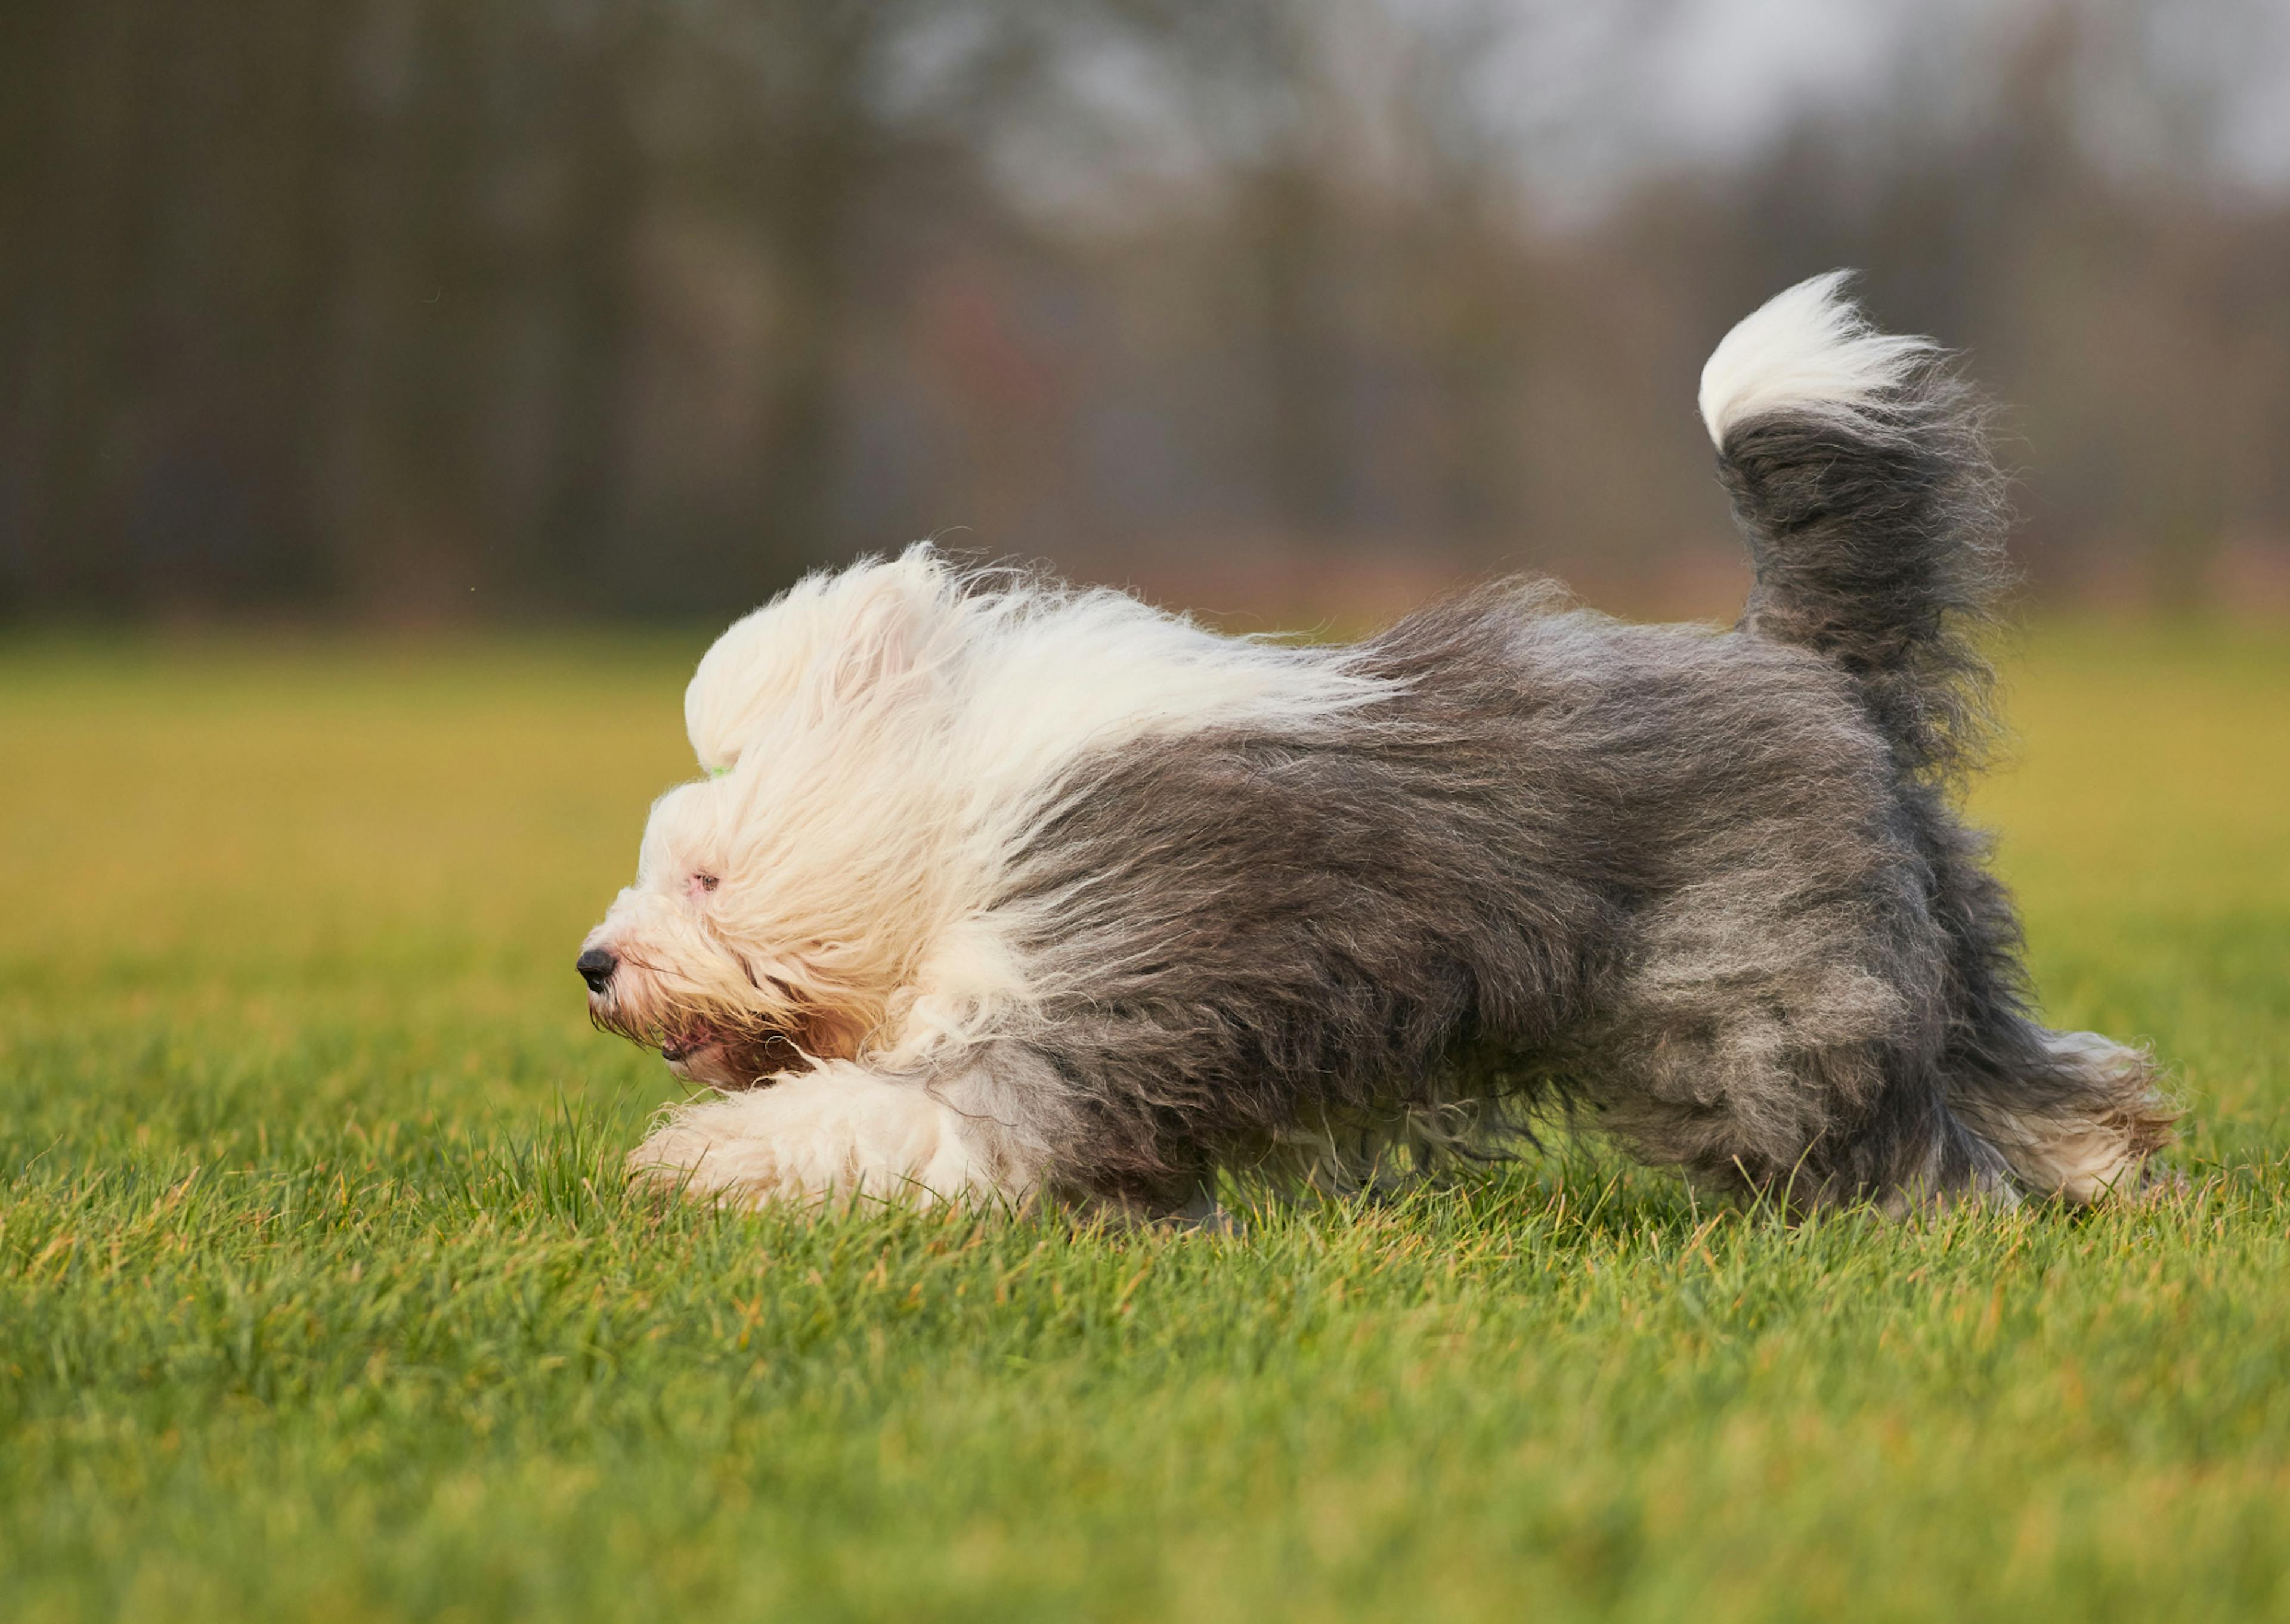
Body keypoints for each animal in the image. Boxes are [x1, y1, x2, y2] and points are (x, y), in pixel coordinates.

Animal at [581, 275, 2171, 1218]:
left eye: (709, 877)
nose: (596, 964)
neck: (955, 819)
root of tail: (1789, 657)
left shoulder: (1085, 997)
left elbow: (908, 1112)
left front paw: (697, 1161)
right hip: (1924, 929)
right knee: (2030, 1063)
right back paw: (2114, 1168)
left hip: (1764, 1001)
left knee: (1891, 1134)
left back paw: (1948, 1230)